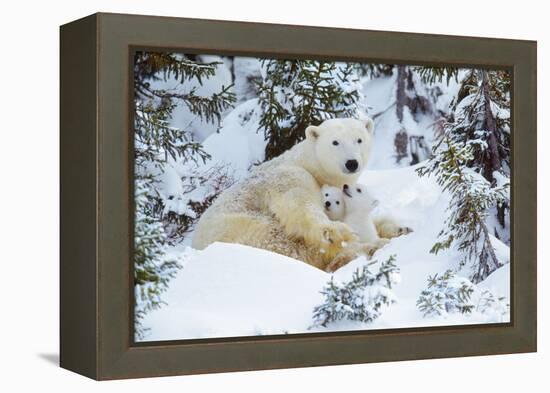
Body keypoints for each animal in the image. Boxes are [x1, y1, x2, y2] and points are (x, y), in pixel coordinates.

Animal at [193, 116, 410, 270]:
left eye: (359, 140)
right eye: (335, 142)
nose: (351, 163)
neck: (310, 165)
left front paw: (398, 227)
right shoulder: (291, 175)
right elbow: (300, 206)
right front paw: (339, 233)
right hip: (246, 228)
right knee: (286, 242)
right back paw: (366, 249)